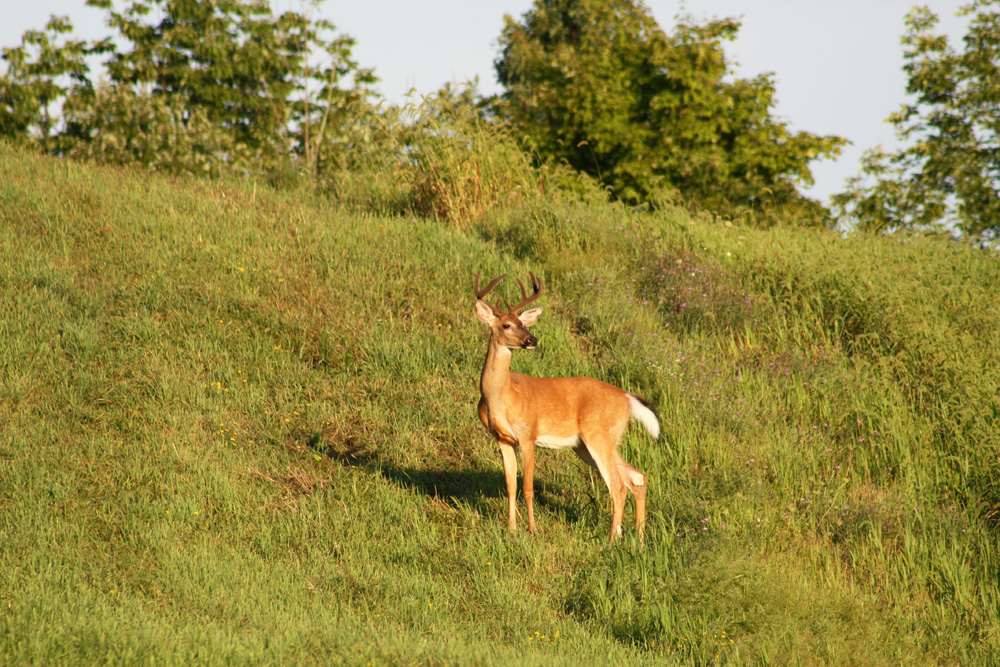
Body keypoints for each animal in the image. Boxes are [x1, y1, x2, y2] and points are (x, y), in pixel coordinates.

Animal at [473, 271, 660, 543]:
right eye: (506, 325)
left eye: (524, 323)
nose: (532, 339)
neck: (503, 396)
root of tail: (627, 398)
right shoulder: (502, 438)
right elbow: (510, 485)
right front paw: (511, 529)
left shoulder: (528, 435)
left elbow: (528, 488)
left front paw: (532, 530)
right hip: (588, 445)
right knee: (637, 477)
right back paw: (638, 538)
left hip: (598, 435)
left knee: (618, 486)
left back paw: (612, 541)